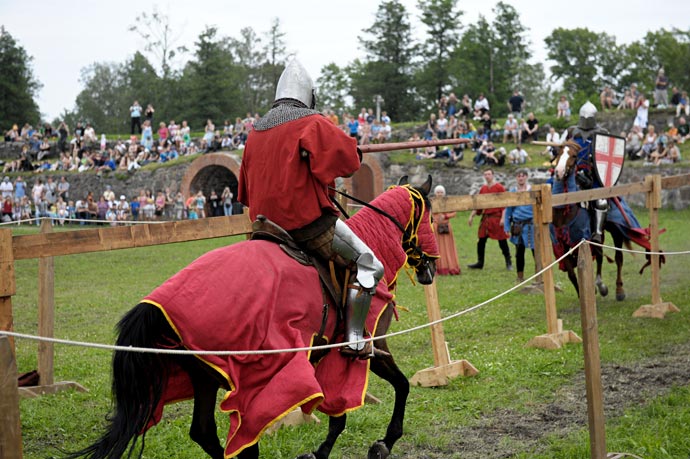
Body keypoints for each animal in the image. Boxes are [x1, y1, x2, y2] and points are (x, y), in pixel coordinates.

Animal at [67, 176, 438, 459]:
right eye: (431, 219)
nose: (431, 268)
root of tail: (155, 306)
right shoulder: (366, 348)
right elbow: (385, 393)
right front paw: (380, 443)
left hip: (203, 374)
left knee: (204, 432)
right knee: (239, 436)